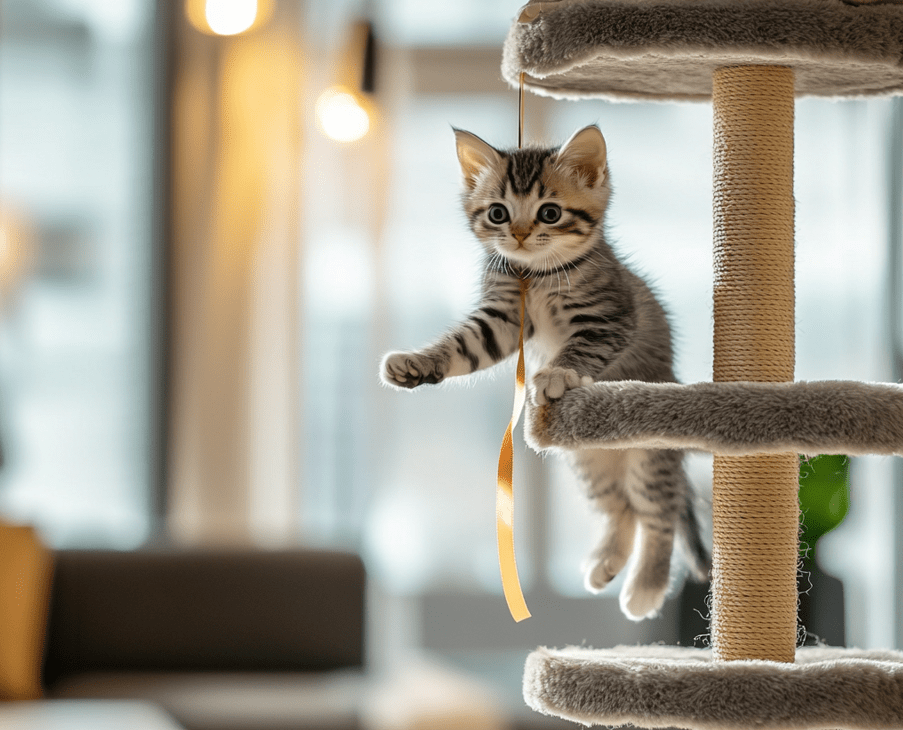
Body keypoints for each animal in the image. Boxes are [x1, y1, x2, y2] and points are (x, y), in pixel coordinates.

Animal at [378, 125, 708, 620]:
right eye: (498, 213)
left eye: (549, 213)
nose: (517, 234)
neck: (534, 275)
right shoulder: (500, 322)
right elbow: (463, 347)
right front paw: (417, 362)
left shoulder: (610, 319)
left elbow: (580, 348)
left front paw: (555, 374)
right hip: (587, 461)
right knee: (621, 509)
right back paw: (606, 564)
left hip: (650, 455)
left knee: (658, 512)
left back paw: (646, 587)